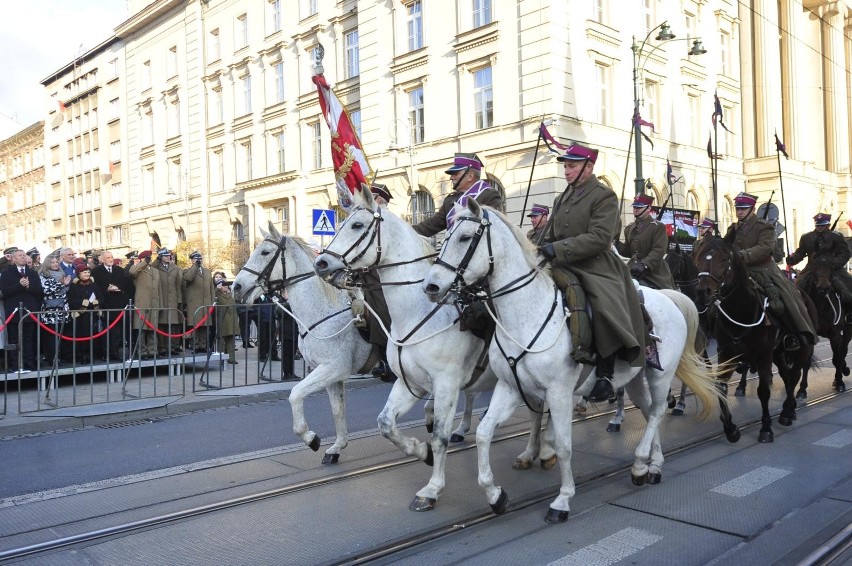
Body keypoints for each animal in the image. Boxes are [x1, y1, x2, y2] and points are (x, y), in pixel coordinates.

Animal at [312, 191, 544, 516]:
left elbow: (440, 436)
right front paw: (421, 452)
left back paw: (541, 452)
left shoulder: (445, 385)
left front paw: (432, 489)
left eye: (357, 225)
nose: (320, 262)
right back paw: (533, 452)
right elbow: (387, 424)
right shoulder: (410, 383)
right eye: (342, 221)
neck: (418, 312)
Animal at [420, 202, 720, 524]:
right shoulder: (510, 388)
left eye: (465, 237)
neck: (526, 314)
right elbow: (484, 433)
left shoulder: (560, 393)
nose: (431, 286)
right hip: (635, 378)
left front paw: (562, 500)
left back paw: (641, 462)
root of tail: (668, 296)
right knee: (650, 409)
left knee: (657, 412)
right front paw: (494, 494)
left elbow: (564, 445)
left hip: (660, 377)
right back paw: (653, 465)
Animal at [700, 235, 820, 444]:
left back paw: (787, 412)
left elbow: (764, 391)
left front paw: (766, 428)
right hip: (779, 353)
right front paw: (730, 428)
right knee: (787, 376)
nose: (703, 291)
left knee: (795, 374)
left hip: (801, 349)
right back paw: (789, 410)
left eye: (723, 258)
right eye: (698, 257)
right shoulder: (726, 354)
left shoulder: (763, 355)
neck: (741, 310)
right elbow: (720, 387)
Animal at [800, 255, 852, 398]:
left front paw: (840, 383)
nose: (823, 288)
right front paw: (802, 389)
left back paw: (843, 371)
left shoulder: (835, 334)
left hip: (848, 330)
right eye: (814, 267)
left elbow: (837, 357)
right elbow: (806, 362)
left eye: (831, 267)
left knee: (842, 351)